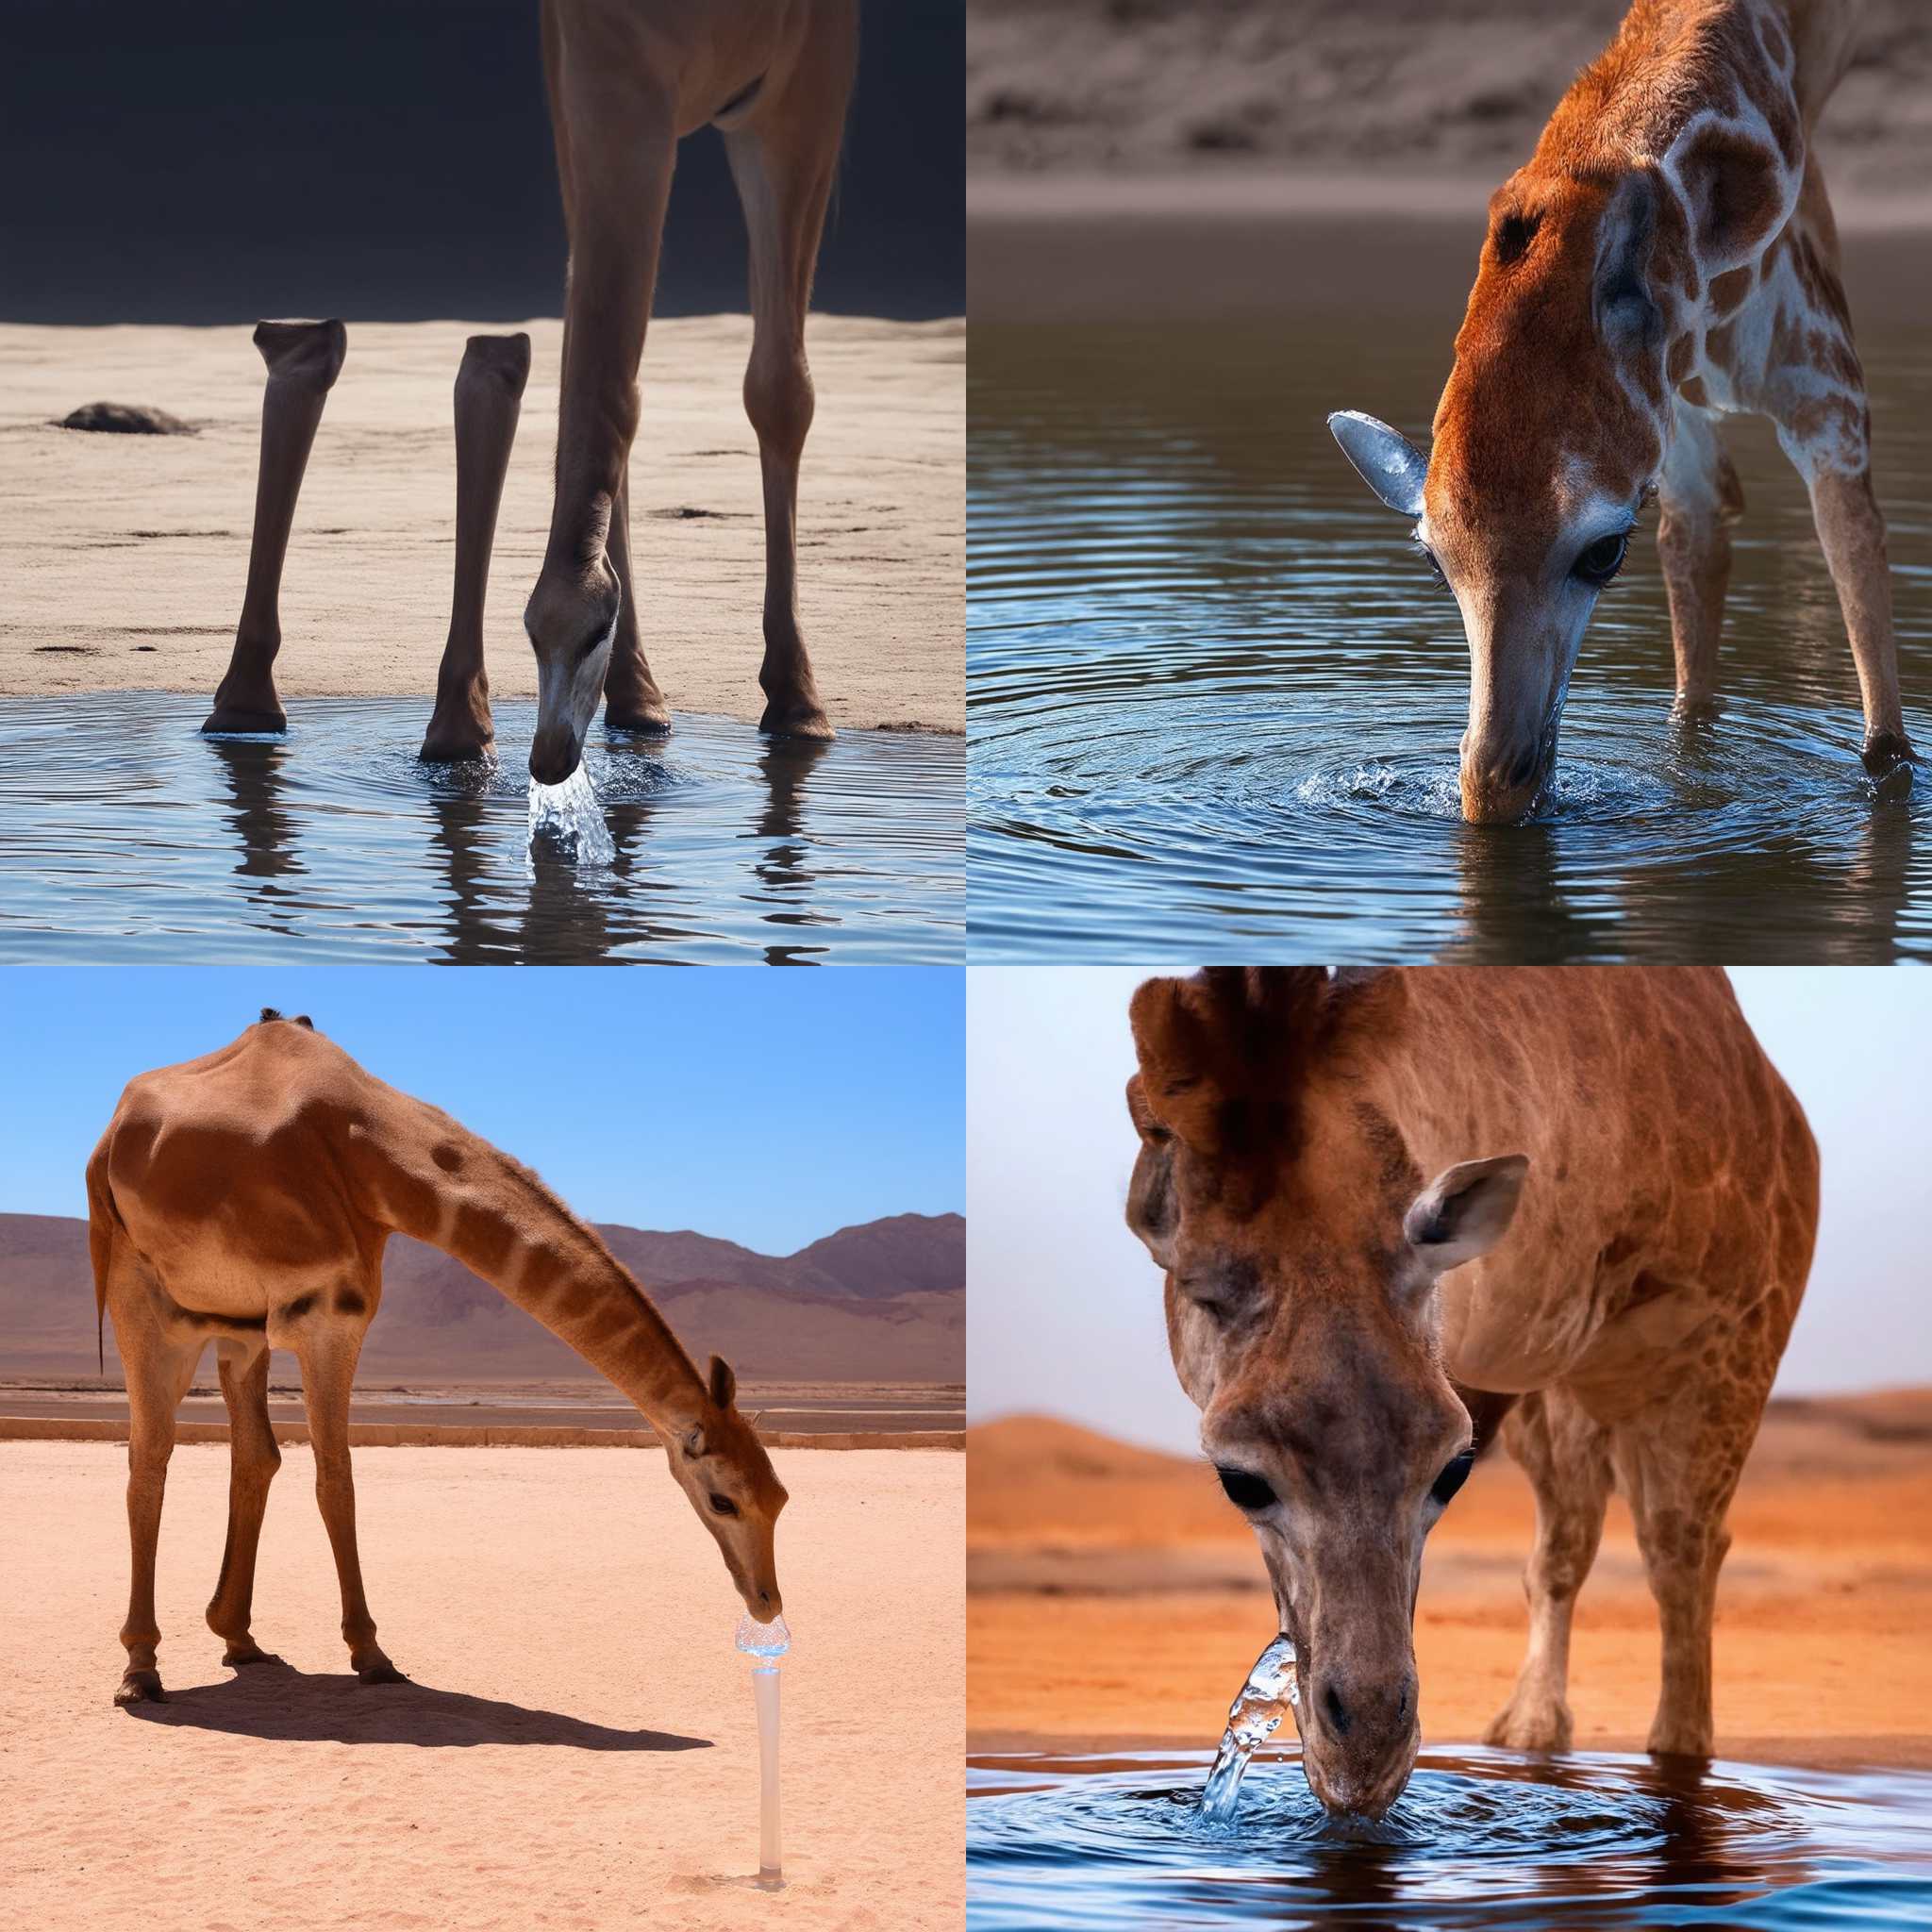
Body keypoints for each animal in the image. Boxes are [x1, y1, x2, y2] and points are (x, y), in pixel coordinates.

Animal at [89, 1012, 784, 1707]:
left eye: (780, 1497)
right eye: (723, 1500)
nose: (767, 1601)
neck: (377, 1154)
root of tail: (108, 1144)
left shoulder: (314, 1312)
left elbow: (307, 1465)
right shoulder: (327, 1316)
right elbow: (336, 1476)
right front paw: (370, 1653)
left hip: (238, 1326)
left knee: (252, 1453)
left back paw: (237, 1636)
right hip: (144, 1300)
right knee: (150, 1454)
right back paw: (140, 1667)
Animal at [517, 2, 858, 784]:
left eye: (596, 631)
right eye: (530, 630)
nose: (548, 759)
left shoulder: (802, 84)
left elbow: (780, 389)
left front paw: (799, 702)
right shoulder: (597, 70)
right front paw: (637, 699)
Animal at [1128, 974, 1816, 1816]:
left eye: (1454, 1469)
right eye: (1239, 1480)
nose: (1365, 1750)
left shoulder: (1723, 1338)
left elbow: (1677, 1557)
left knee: (1677, 1548)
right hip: (1559, 1398)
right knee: (1566, 1544)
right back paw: (1526, 1731)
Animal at [1337, 0, 1908, 823]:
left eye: (1603, 552)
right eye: (1434, 559)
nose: (1496, 793)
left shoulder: (1826, 392)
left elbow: (1887, 739)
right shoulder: (1678, 412)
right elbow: (1696, 582)